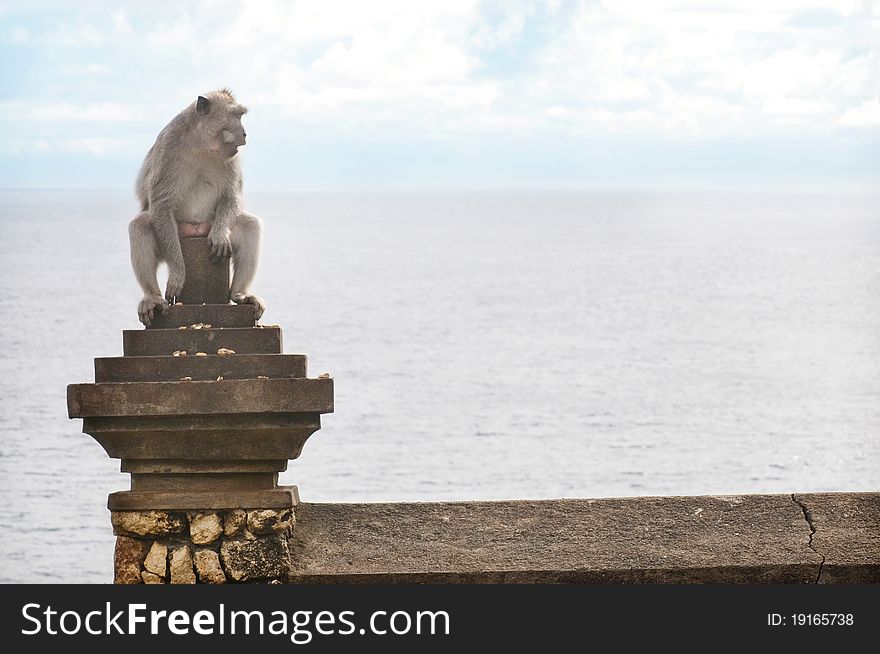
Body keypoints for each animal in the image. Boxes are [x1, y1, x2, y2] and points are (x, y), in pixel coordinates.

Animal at [128, 89, 264, 326]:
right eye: (236, 115)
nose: (245, 134)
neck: (202, 144)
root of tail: (195, 230)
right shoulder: (168, 148)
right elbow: (161, 204)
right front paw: (178, 274)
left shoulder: (232, 158)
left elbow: (232, 196)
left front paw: (219, 235)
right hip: (173, 235)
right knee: (140, 225)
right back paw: (152, 298)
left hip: (209, 224)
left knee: (250, 226)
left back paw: (240, 294)